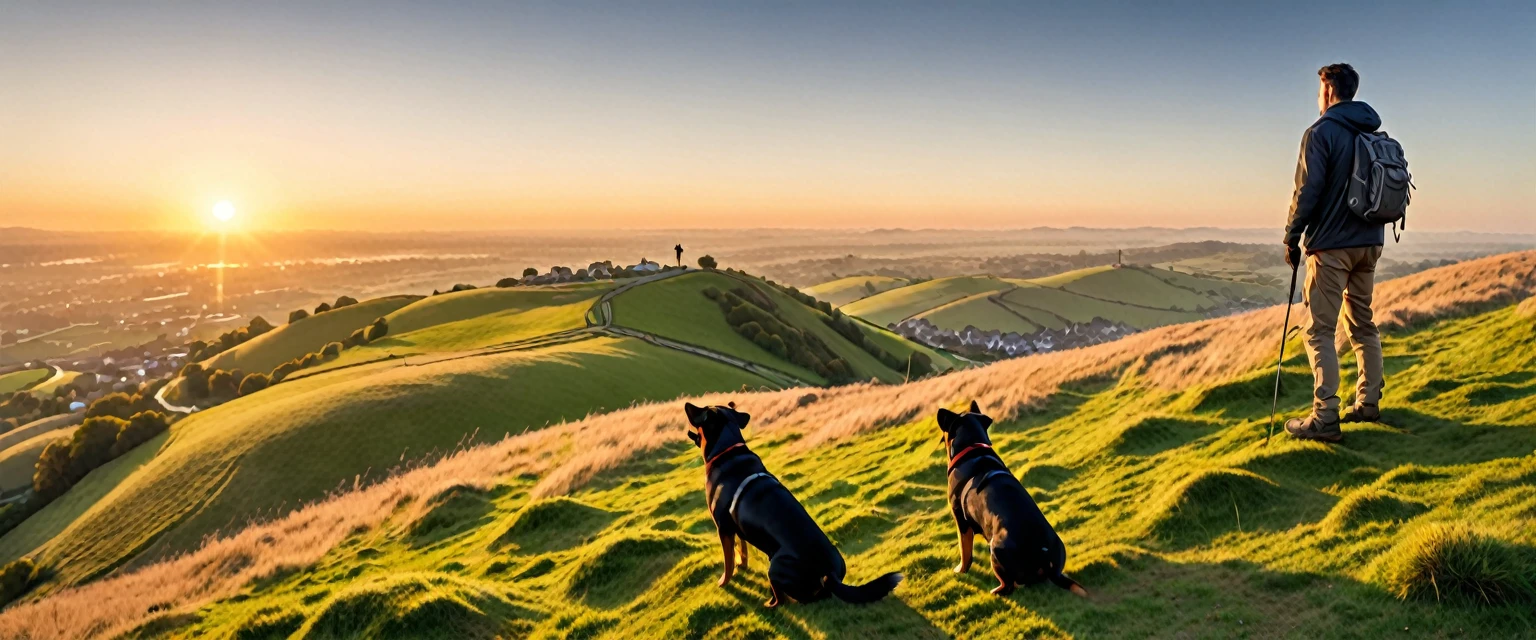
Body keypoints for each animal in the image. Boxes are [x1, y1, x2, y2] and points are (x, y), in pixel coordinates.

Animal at [685, 402, 897, 604]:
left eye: (702, 411)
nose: (687, 404)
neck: (726, 449)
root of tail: (830, 574)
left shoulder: (723, 527)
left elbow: (727, 563)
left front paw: (724, 582)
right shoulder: (735, 526)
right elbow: (742, 550)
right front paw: (742, 565)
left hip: (775, 565)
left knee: (787, 599)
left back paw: (771, 603)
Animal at [933, 402, 1093, 595]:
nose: (940, 410)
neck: (972, 447)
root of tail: (1044, 559)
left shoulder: (961, 520)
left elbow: (965, 551)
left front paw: (960, 570)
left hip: (995, 548)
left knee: (1008, 585)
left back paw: (995, 592)